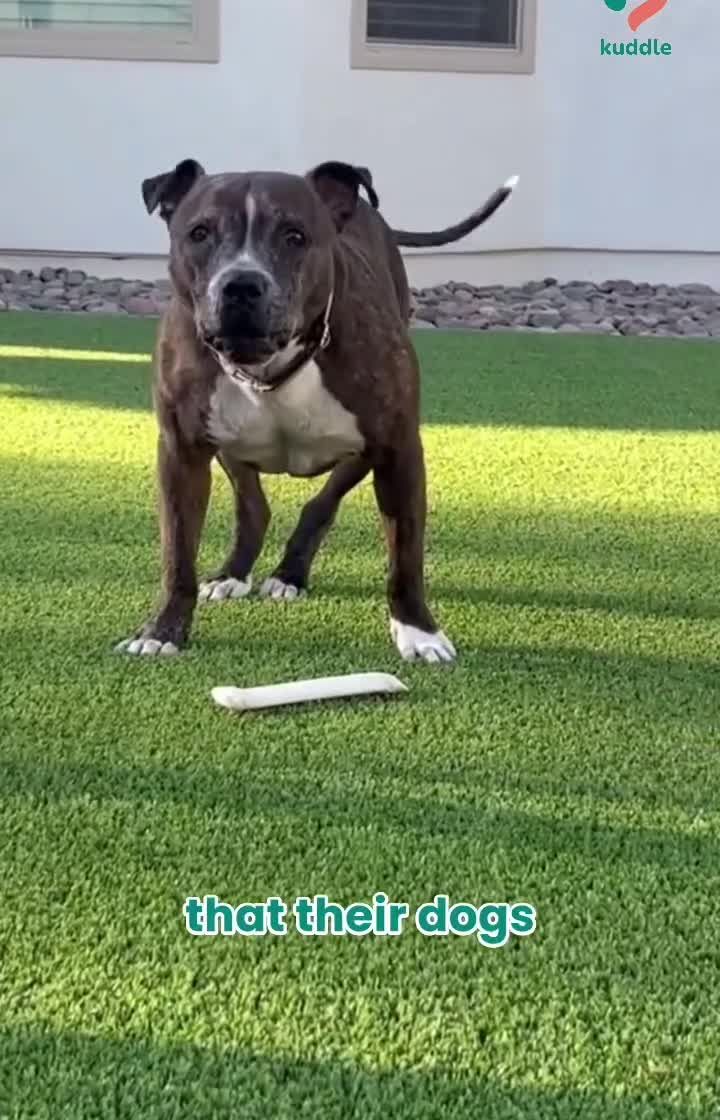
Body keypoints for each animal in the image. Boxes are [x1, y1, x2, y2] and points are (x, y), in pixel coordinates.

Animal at [116, 158, 516, 662]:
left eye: (295, 235)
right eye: (199, 232)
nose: (241, 284)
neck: (269, 367)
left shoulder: (398, 449)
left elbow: (405, 556)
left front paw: (418, 632)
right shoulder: (181, 452)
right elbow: (177, 553)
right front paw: (162, 630)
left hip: (362, 452)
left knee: (320, 504)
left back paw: (289, 574)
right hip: (228, 446)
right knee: (254, 506)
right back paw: (233, 573)